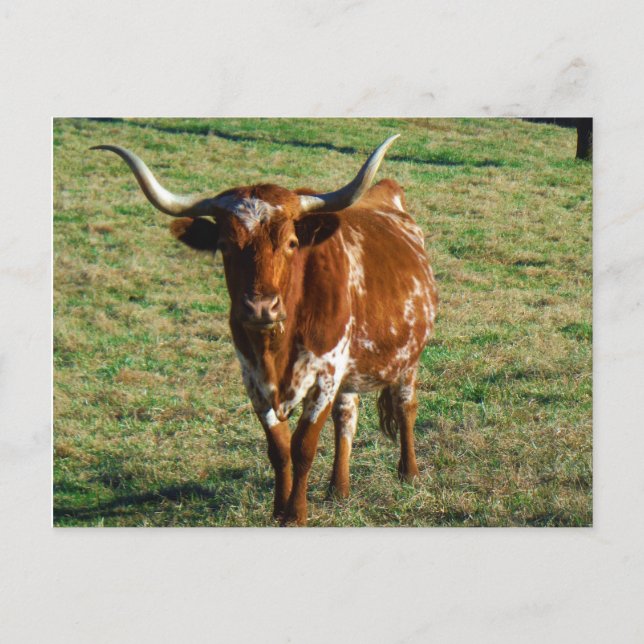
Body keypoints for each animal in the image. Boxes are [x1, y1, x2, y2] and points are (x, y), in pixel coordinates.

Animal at [93, 135, 438, 526]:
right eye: (224, 245)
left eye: (291, 243)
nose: (260, 308)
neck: (277, 346)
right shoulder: (254, 381)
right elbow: (279, 449)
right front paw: (278, 509)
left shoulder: (325, 376)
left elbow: (303, 447)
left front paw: (296, 514)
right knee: (347, 416)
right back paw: (338, 488)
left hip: (407, 359)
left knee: (405, 405)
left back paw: (408, 472)